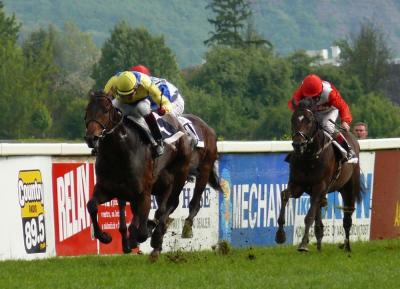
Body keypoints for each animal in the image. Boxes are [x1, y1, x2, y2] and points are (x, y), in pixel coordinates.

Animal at [83, 90, 191, 258]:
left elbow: (142, 230)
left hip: (180, 175)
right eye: (87, 110)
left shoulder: (143, 193)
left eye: (106, 110)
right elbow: (92, 206)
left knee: (169, 205)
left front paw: (143, 233)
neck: (119, 153)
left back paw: (155, 236)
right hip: (162, 183)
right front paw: (105, 236)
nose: (91, 138)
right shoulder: (107, 189)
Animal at [276, 100, 364, 251]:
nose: (298, 144)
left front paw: (303, 244)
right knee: (319, 210)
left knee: (347, 215)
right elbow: (285, 195)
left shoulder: (319, 186)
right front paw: (280, 235)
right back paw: (319, 243)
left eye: (309, 121)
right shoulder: (297, 184)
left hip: (348, 187)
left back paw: (347, 246)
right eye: (293, 119)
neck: (309, 156)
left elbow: (309, 216)